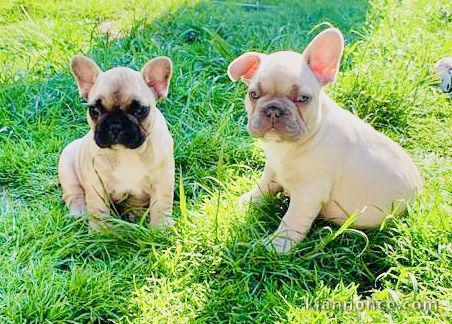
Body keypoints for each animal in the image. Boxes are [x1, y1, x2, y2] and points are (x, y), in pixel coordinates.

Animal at [58, 55, 175, 228]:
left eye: (139, 110)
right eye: (95, 111)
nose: (116, 125)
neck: (126, 153)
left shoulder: (162, 182)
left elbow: (160, 207)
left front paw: (161, 228)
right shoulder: (96, 185)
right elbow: (98, 211)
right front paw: (101, 231)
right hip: (67, 167)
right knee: (74, 194)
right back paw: (78, 212)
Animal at [230, 27, 424, 253]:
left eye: (303, 99)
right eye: (253, 94)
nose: (273, 110)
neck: (287, 147)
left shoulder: (308, 194)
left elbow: (291, 222)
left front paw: (276, 247)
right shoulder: (272, 169)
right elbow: (262, 188)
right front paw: (247, 201)